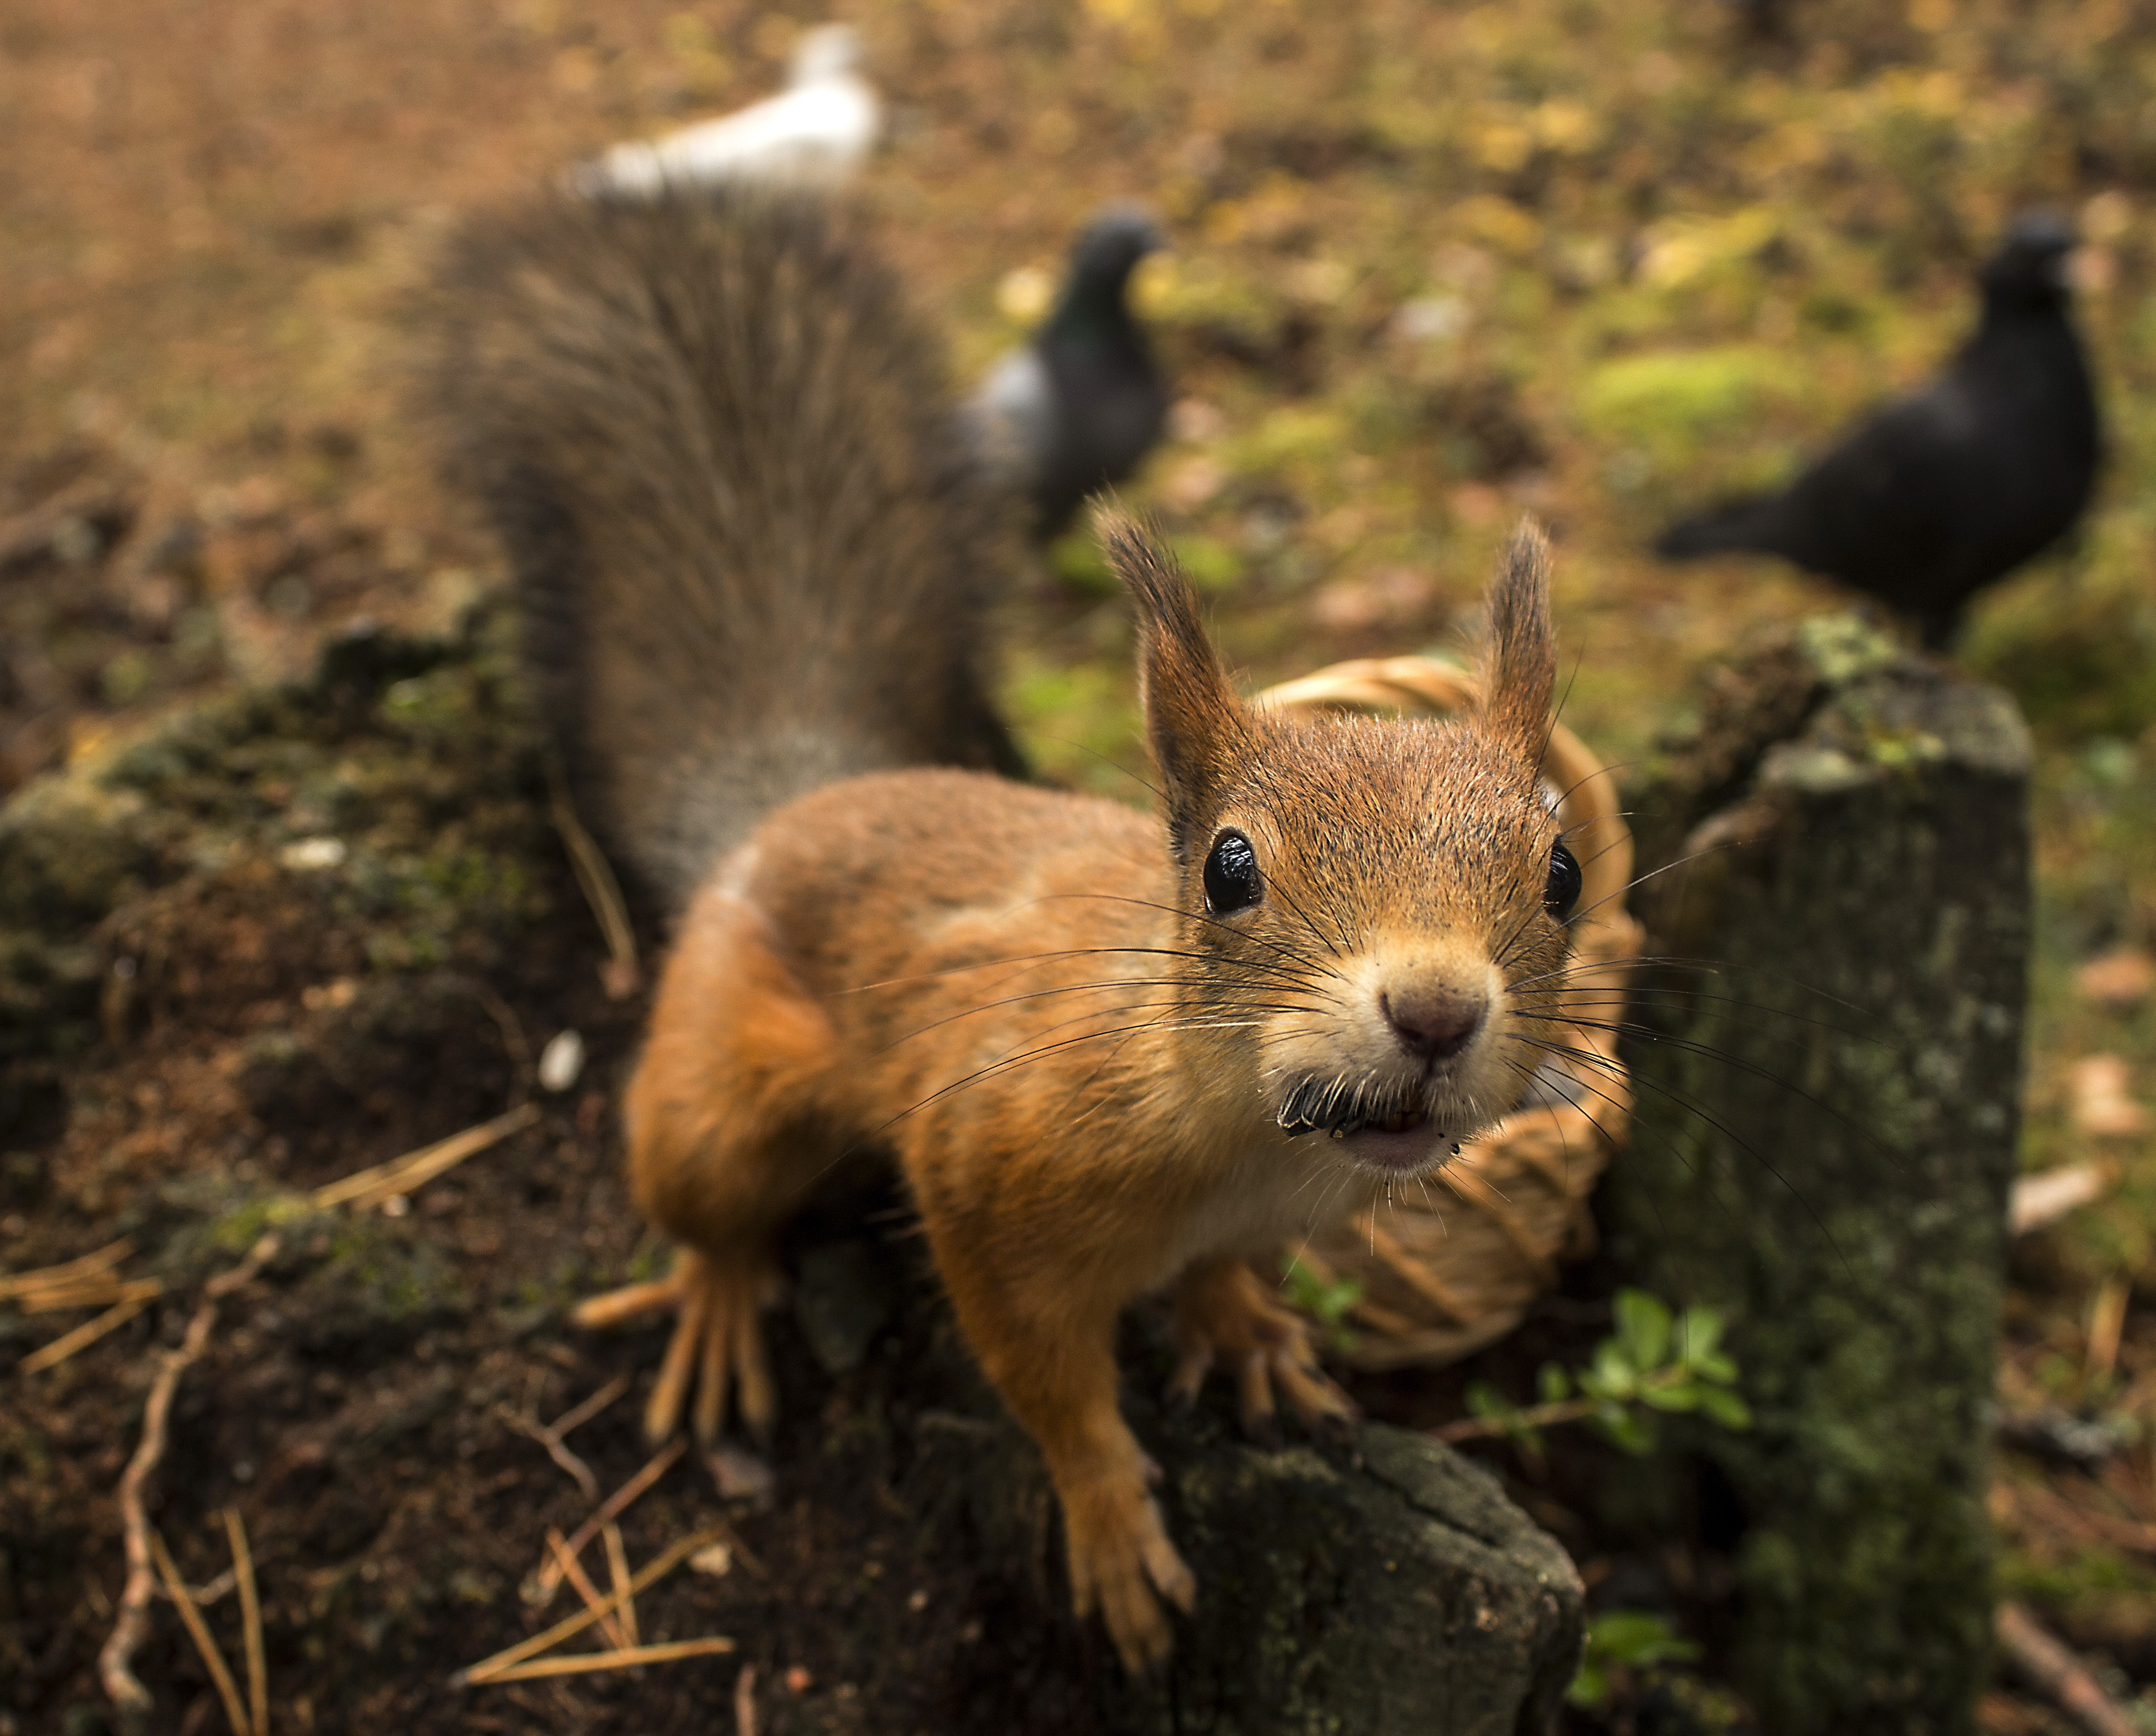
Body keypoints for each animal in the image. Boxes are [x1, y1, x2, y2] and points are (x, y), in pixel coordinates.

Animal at [428, 186, 1579, 1672]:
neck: (1241, 1141)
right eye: (1226, 868)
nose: (1436, 1013)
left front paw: (1242, 1328)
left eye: (1562, 869)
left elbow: (1224, 1275)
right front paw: (1111, 1525)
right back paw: (720, 1300)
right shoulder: (981, 1172)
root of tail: (787, 806)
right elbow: (1049, 1385)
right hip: (715, 1096)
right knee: (704, 1198)